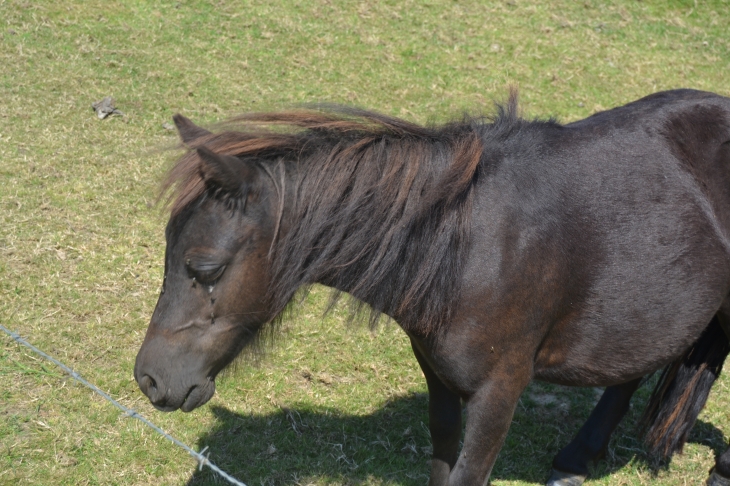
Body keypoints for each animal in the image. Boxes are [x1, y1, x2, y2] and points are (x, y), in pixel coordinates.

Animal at [134, 89, 728, 484]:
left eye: (205, 268)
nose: (149, 379)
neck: (468, 246)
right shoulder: (439, 375)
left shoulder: (500, 390)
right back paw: (577, 459)